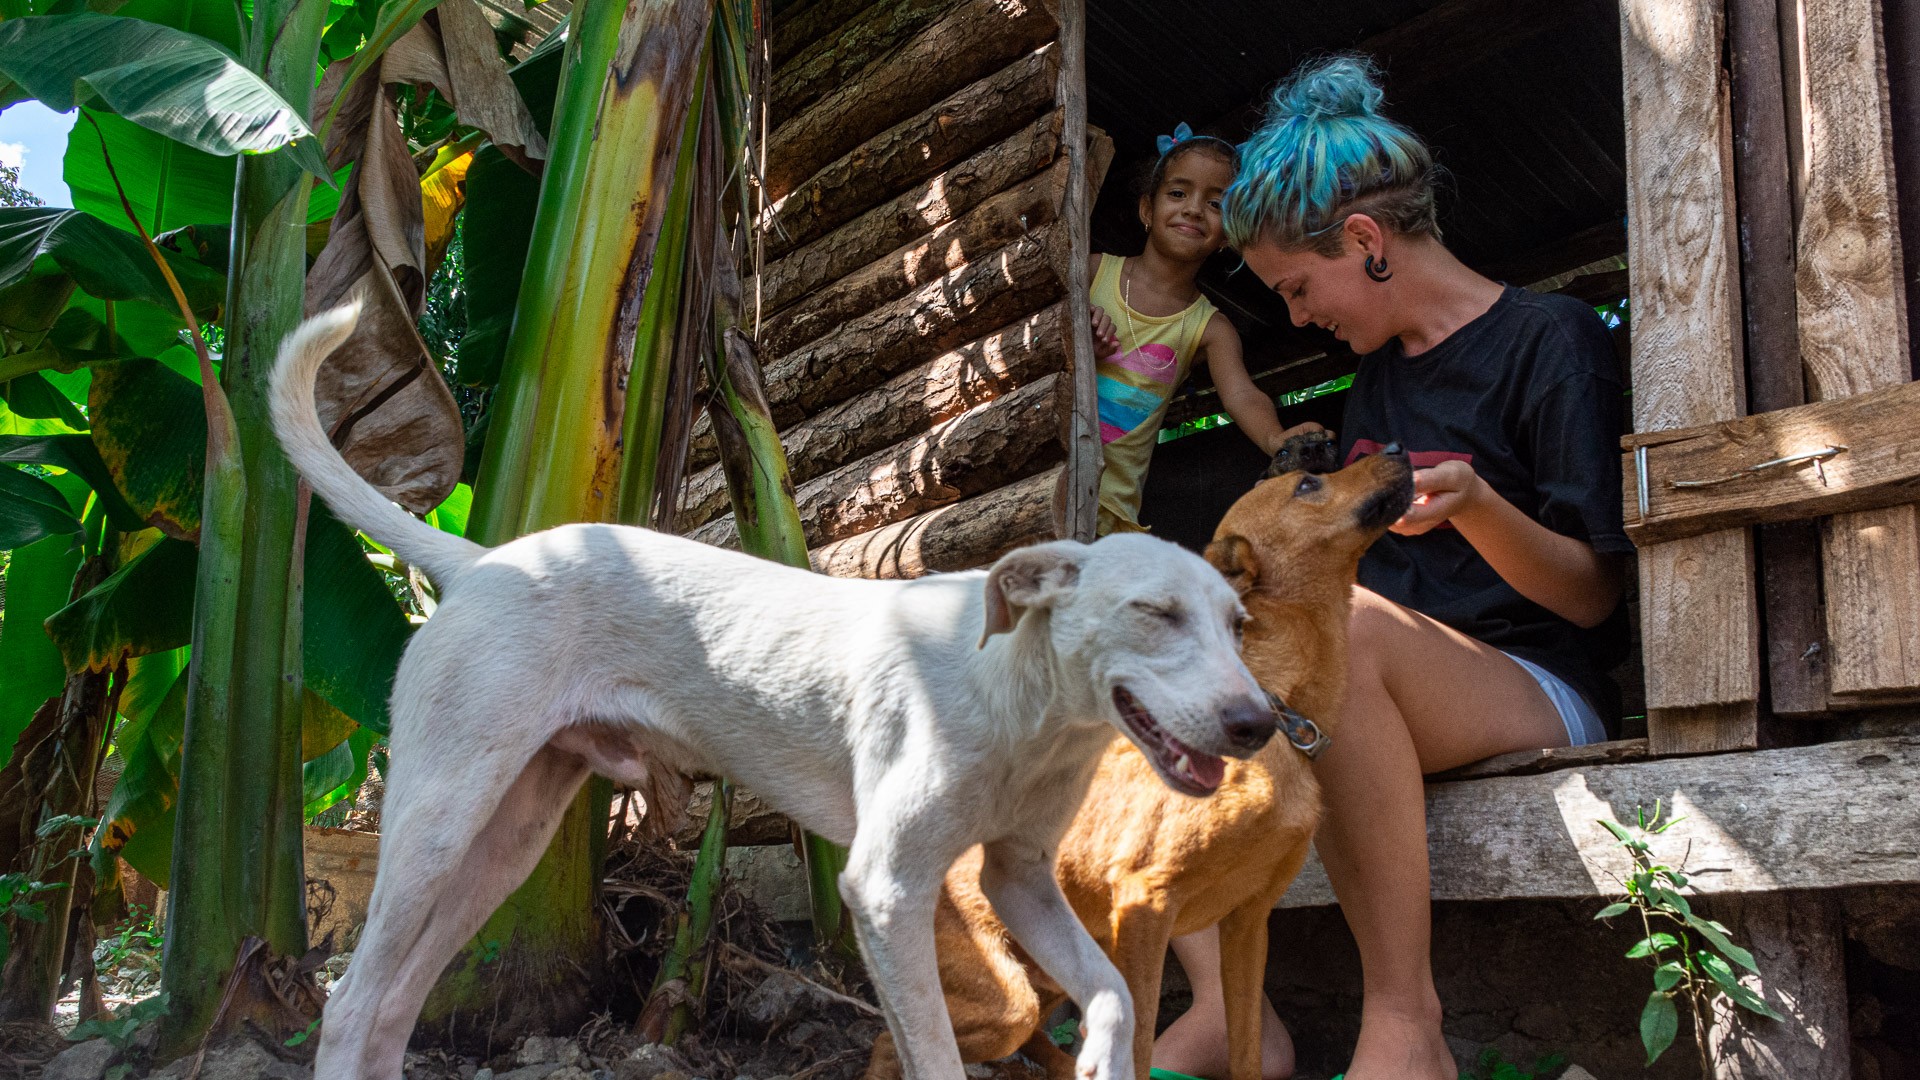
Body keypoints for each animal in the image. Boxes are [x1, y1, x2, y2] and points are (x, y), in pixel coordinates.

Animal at [270, 305, 1282, 1076]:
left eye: (1238, 624)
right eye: (1155, 613)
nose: (1259, 726)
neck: (1025, 710)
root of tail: (483, 561)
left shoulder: (1019, 875)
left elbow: (1113, 996)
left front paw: (1106, 1060)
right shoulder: (885, 891)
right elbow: (938, 1053)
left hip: (508, 842)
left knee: (394, 1006)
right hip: (440, 820)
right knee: (350, 1002)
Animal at [864, 445, 1420, 1076]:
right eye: (1308, 484)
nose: (1397, 448)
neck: (1278, 706)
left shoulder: (1249, 923)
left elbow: (1246, 1050)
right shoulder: (1144, 906)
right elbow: (1140, 1042)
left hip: (1048, 980)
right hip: (1009, 1001)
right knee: (892, 1040)